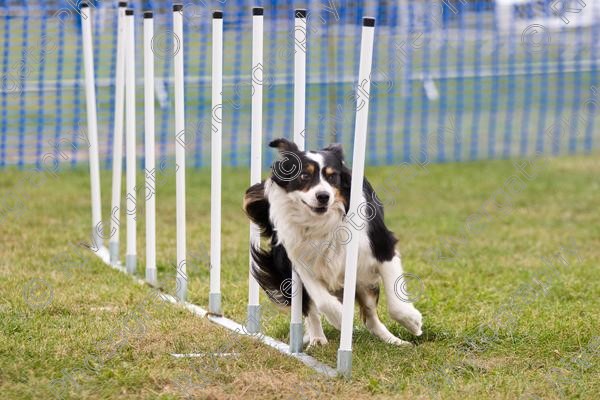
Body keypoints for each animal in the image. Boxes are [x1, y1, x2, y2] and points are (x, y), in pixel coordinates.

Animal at [243, 138, 422, 346]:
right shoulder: (300, 260)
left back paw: (394, 341)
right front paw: (339, 317)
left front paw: (412, 322)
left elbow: (395, 301)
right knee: (309, 308)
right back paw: (317, 339)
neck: (322, 222)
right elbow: (322, 300)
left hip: (361, 278)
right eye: (304, 175)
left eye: (332, 177)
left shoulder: (381, 245)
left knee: (371, 317)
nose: (323, 196)